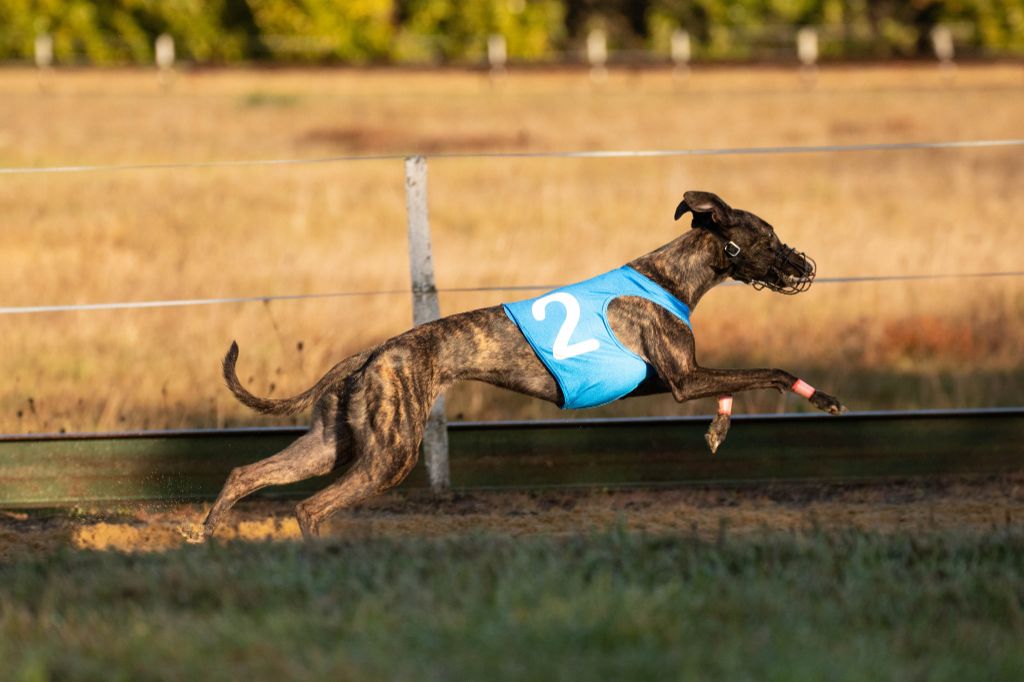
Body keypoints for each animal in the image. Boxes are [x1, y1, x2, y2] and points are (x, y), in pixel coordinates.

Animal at [199, 188, 847, 540]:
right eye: (768, 236)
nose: (805, 266)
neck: (670, 275)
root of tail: (374, 353)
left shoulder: (662, 383)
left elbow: (729, 389)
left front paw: (717, 431)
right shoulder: (684, 379)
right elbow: (768, 371)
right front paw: (821, 397)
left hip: (333, 443)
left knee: (246, 473)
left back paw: (210, 537)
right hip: (390, 453)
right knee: (310, 505)